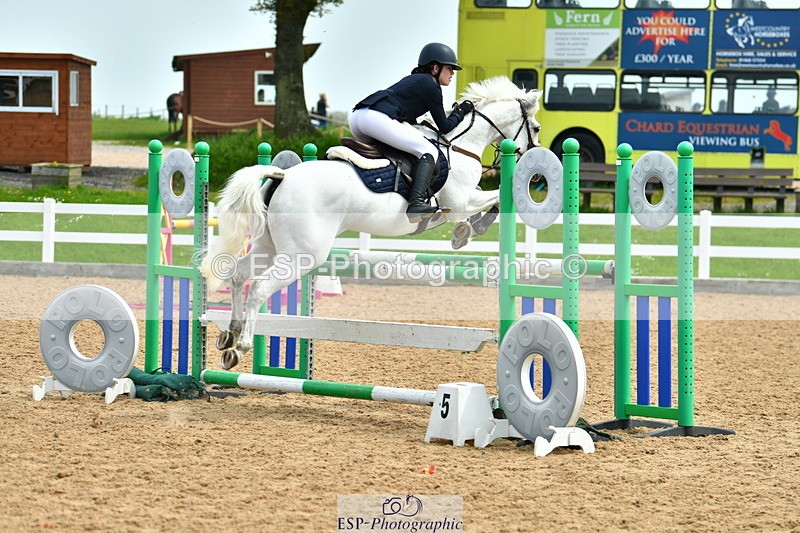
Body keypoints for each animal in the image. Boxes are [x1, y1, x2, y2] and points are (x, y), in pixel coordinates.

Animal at [200, 76, 542, 370]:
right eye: (536, 127)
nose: (535, 167)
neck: (460, 145)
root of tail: (281, 175)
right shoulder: (460, 201)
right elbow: (497, 196)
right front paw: (471, 229)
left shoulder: (460, 203)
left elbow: (485, 203)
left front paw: (463, 233)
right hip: (302, 255)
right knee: (258, 287)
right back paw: (240, 346)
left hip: (269, 246)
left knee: (238, 275)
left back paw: (229, 334)